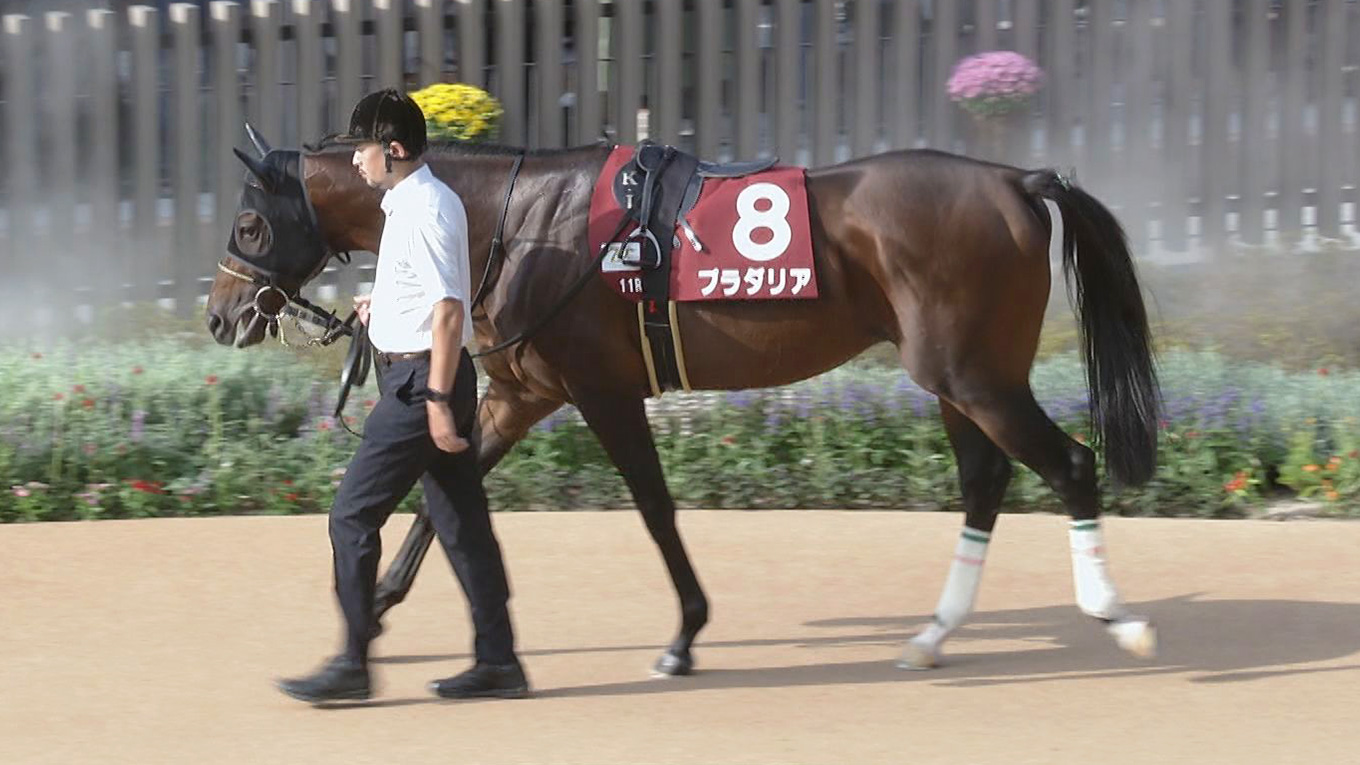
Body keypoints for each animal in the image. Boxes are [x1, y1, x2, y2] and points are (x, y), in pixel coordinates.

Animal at [204, 127, 1161, 676]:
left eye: (250, 225)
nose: (221, 314)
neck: (521, 221)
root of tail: (1017, 180)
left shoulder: (603, 392)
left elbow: (656, 509)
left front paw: (685, 634)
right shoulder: (521, 394)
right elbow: (443, 501)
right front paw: (373, 617)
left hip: (975, 377)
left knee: (1070, 464)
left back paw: (1118, 617)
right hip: (959, 379)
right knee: (985, 481)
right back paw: (933, 634)